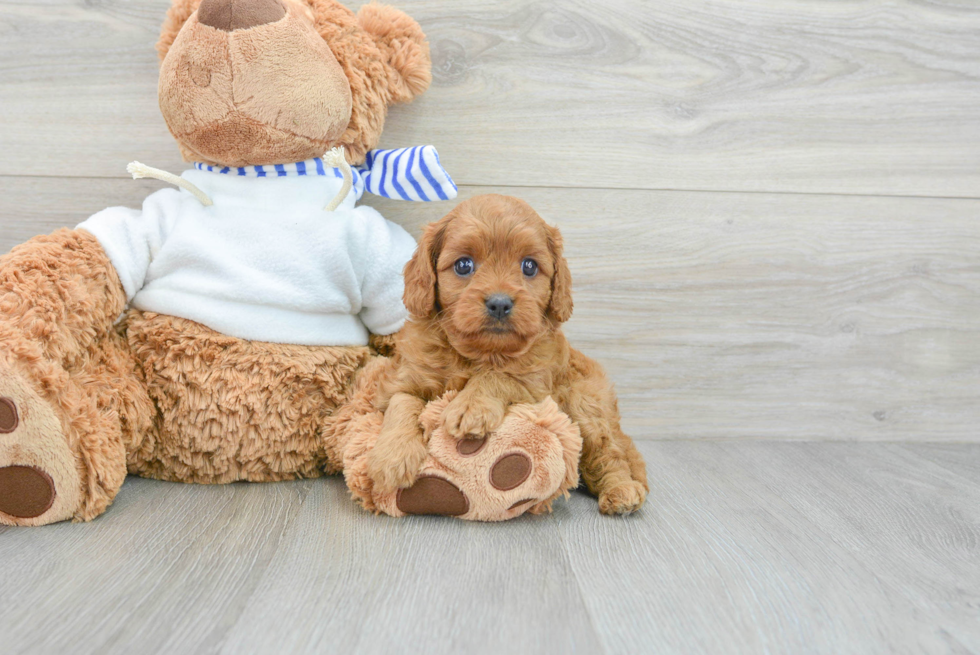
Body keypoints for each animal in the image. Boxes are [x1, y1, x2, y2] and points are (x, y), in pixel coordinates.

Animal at [364, 192, 648, 516]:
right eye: (463, 265)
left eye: (529, 267)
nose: (499, 303)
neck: (477, 354)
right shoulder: (403, 377)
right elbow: (402, 402)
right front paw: (392, 456)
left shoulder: (536, 384)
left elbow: (500, 376)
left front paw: (470, 407)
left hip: (584, 405)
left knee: (608, 453)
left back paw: (621, 490)